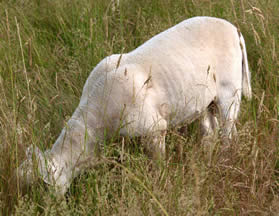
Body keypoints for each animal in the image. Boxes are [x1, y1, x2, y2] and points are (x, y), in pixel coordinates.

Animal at [18, 15, 253, 194]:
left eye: (40, 188)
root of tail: (233, 29)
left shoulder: (154, 129)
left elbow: (157, 166)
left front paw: (159, 186)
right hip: (204, 100)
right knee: (210, 132)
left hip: (229, 92)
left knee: (228, 134)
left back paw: (225, 161)